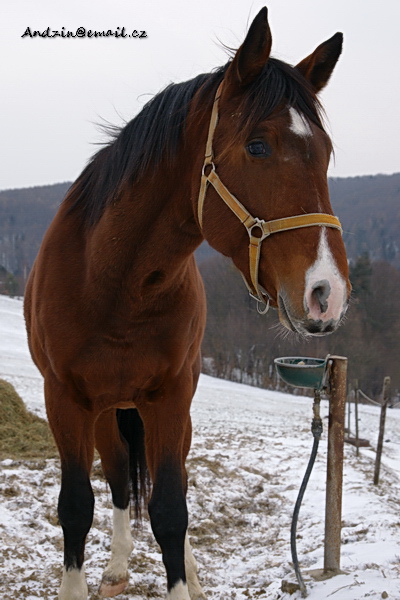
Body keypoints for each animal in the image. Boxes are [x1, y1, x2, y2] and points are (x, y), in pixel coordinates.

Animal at [24, 7, 351, 600]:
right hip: (107, 411)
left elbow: (172, 511)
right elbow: (77, 507)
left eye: (326, 154)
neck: (115, 284)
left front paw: (185, 577)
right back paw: (117, 566)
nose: (327, 292)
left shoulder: (171, 399)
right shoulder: (64, 399)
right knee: (120, 481)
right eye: (258, 146)